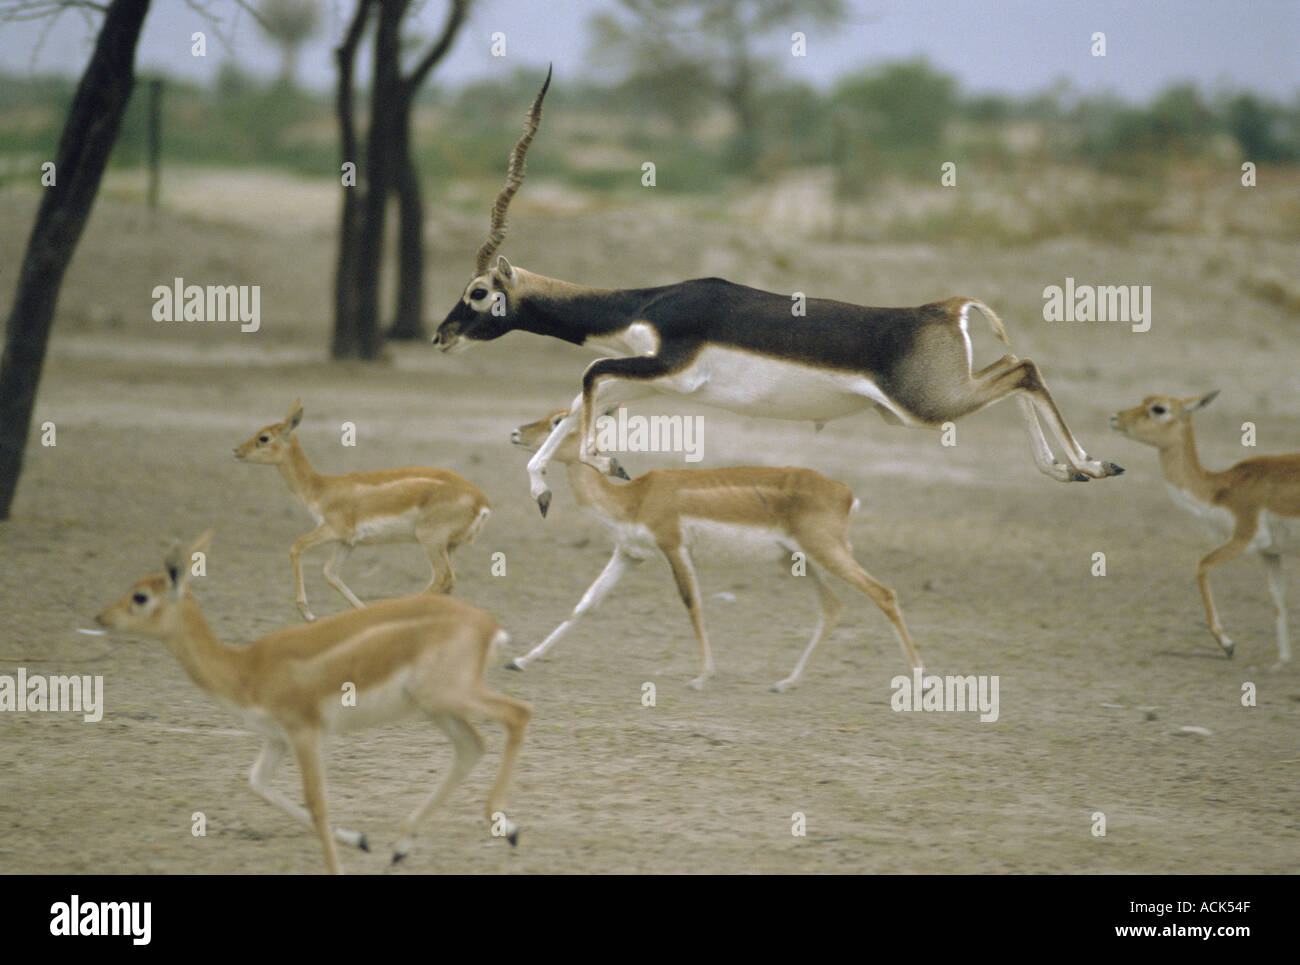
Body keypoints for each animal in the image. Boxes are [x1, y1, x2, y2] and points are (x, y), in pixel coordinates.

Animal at [235, 397, 491, 619]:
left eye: (264, 437)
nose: (236, 451)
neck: (321, 487)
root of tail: (482, 502)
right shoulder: (347, 542)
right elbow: (330, 572)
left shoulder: (332, 531)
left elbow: (297, 547)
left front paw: (308, 614)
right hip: (448, 546)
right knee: (444, 583)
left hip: (431, 540)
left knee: (443, 578)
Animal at [436, 70, 1128, 517]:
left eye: (478, 291)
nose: (441, 336)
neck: (646, 304)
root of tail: (946, 308)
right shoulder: (650, 380)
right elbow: (577, 404)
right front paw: (545, 488)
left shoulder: (663, 364)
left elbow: (586, 375)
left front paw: (607, 466)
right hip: (929, 402)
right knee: (1016, 367)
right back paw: (1073, 468)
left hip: (927, 406)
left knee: (1024, 368)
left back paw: (1090, 464)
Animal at [501, 410, 920, 691]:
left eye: (558, 421)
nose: (515, 432)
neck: (633, 498)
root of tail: (845, 493)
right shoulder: (629, 554)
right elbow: (585, 603)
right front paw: (521, 660)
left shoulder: (673, 547)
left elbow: (692, 603)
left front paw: (702, 675)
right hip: (796, 560)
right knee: (833, 608)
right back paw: (785, 682)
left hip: (827, 552)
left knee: (884, 593)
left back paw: (918, 677)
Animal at [1107, 390, 1300, 671]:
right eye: (1144, 399)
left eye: (1159, 408)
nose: (1115, 418)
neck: (1221, 490)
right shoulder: (1270, 552)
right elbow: (1278, 600)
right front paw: (1280, 663)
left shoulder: (1245, 538)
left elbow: (1202, 565)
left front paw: (1228, 645)